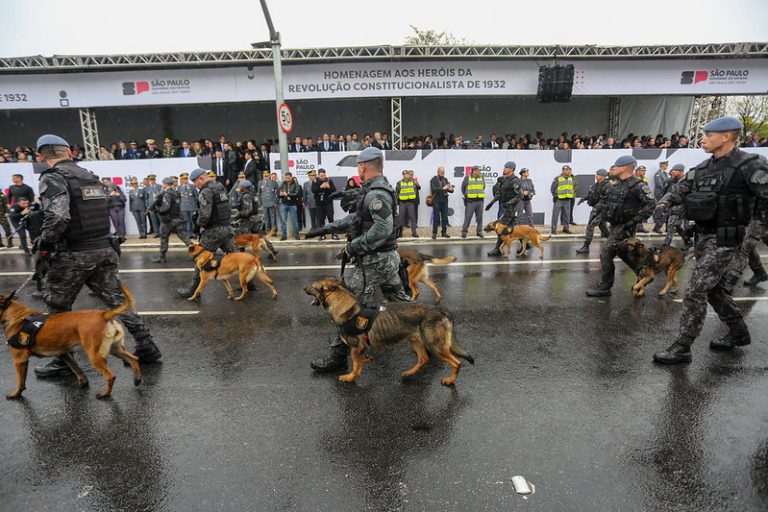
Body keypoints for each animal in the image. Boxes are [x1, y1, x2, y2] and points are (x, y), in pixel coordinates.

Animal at [0, 284, 142, 400]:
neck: (16, 316)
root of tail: (103, 314)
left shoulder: (20, 360)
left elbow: (20, 381)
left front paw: (16, 394)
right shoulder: (64, 353)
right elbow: (77, 369)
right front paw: (83, 384)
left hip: (95, 356)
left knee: (111, 375)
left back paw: (105, 394)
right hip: (115, 349)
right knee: (134, 359)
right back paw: (137, 380)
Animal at [304, 278, 474, 386]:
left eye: (312, 287)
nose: (303, 288)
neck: (345, 307)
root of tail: (441, 310)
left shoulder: (356, 347)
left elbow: (356, 366)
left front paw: (350, 377)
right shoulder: (360, 348)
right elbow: (360, 360)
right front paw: (366, 360)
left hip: (435, 346)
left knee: (457, 362)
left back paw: (450, 380)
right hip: (415, 341)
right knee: (423, 359)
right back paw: (409, 373)